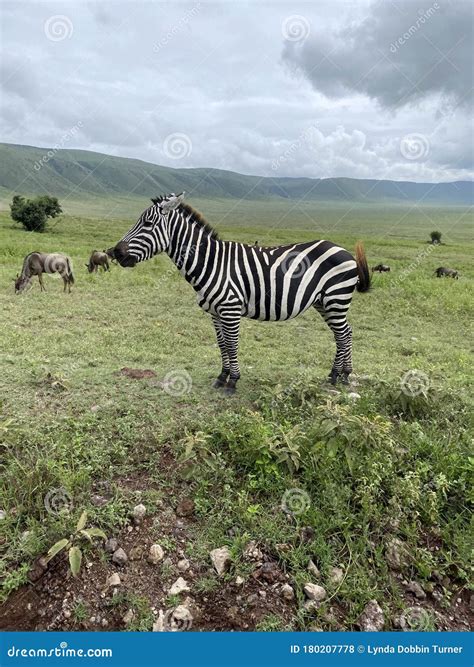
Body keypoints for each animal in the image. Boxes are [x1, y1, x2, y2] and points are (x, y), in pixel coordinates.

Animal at [109, 193, 371, 394]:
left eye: (147, 224)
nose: (115, 252)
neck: (211, 262)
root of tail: (342, 249)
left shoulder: (230, 308)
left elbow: (232, 344)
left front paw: (233, 381)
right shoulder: (215, 312)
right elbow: (222, 344)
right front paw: (221, 377)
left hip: (336, 298)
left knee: (343, 334)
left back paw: (339, 375)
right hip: (323, 302)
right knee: (344, 333)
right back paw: (340, 374)